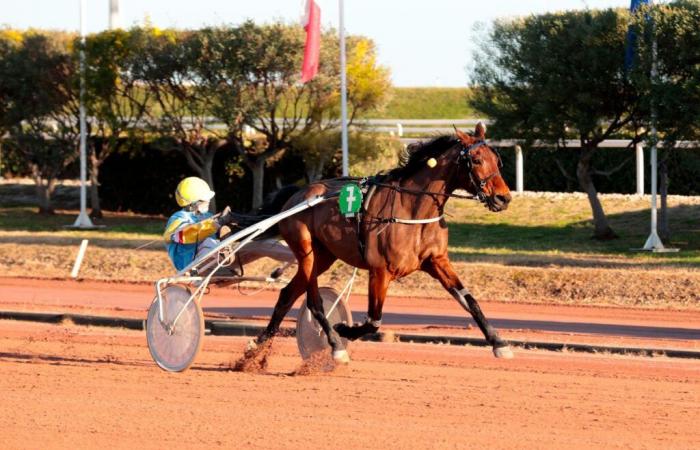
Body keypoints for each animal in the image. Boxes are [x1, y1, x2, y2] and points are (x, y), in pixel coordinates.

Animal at [253, 122, 516, 362]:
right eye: (477, 160)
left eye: (497, 160)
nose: (503, 198)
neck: (413, 210)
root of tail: (298, 194)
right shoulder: (380, 270)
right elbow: (374, 321)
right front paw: (344, 329)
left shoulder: (437, 261)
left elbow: (469, 300)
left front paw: (498, 342)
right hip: (305, 248)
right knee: (314, 301)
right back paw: (335, 345)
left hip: (324, 255)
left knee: (287, 294)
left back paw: (256, 351)